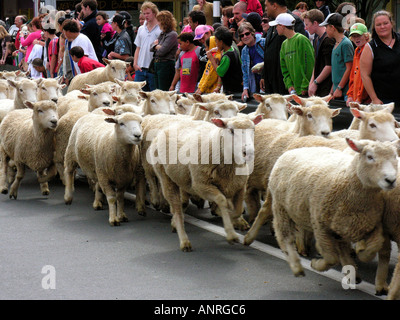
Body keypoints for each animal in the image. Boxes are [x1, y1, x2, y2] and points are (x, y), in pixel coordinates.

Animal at [268, 139, 400, 278]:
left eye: (395, 156)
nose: (391, 180)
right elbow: (331, 258)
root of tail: (292, 151)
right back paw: (296, 266)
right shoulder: (320, 225)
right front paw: (316, 264)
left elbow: (373, 248)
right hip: (280, 207)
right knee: (284, 236)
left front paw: (361, 253)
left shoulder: (371, 224)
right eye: (370, 157)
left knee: (341, 246)